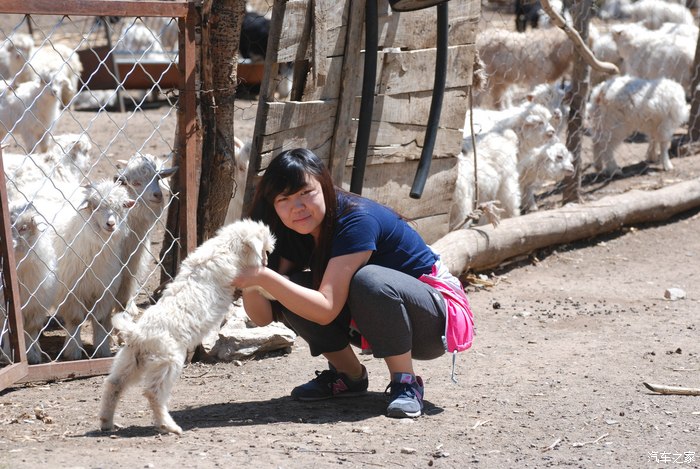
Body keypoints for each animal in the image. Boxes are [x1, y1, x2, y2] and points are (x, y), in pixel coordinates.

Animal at [0, 201, 57, 362]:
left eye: (23, 228)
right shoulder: (5, 306)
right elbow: (8, 330)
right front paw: (8, 354)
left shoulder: (36, 306)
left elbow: (31, 329)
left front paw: (33, 355)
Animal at [52, 179, 135, 358]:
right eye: (95, 206)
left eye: (121, 206)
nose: (111, 224)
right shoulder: (72, 291)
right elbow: (75, 320)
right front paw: (73, 352)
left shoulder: (104, 289)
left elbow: (100, 320)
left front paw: (102, 350)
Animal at [98, 219, 274, 436]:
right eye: (264, 250)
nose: (266, 263)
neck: (225, 246)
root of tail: (136, 333)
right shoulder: (242, 277)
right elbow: (259, 285)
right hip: (168, 362)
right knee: (153, 393)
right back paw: (168, 426)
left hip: (130, 361)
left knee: (113, 385)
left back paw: (107, 422)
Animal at [112, 154, 178, 314]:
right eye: (135, 183)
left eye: (158, 178)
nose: (158, 195)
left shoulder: (133, 257)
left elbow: (128, 281)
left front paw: (129, 307)